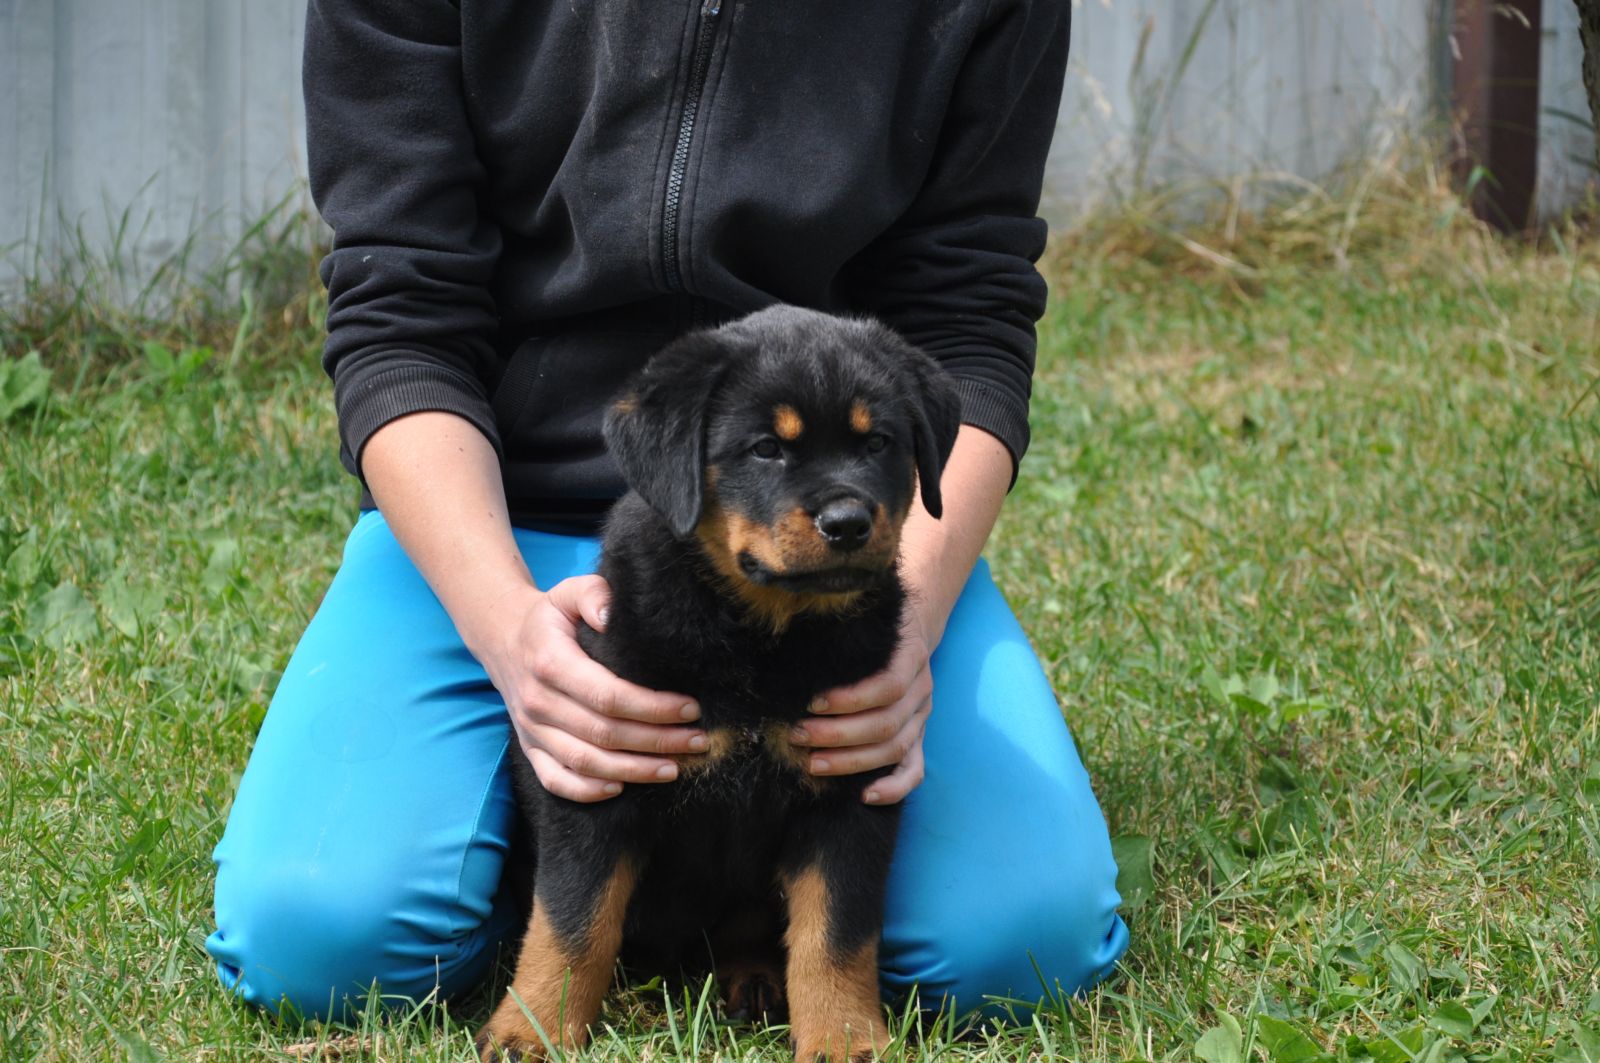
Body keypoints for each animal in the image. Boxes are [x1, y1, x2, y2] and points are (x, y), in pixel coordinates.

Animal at [476, 305, 961, 1062]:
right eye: (766, 449)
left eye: (879, 441)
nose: (849, 523)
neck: (760, 635)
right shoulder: (594, 776)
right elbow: (573, 920)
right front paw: (532, 1031)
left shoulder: (852, 786)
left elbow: (838, 932)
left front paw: (844, 1038)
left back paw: (754, 980)